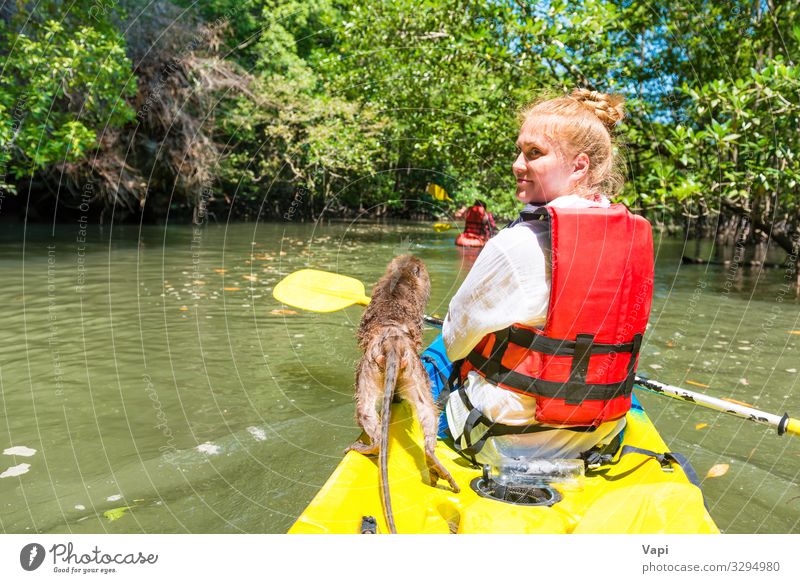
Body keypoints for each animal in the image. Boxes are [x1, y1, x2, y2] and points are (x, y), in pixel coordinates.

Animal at [346, 256, 460, 532]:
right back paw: (432, 458)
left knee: (364, 408)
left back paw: (373, 445)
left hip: (371, 369)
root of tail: (393, 341)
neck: (401, 276)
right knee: (427, 410)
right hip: (415, 372)